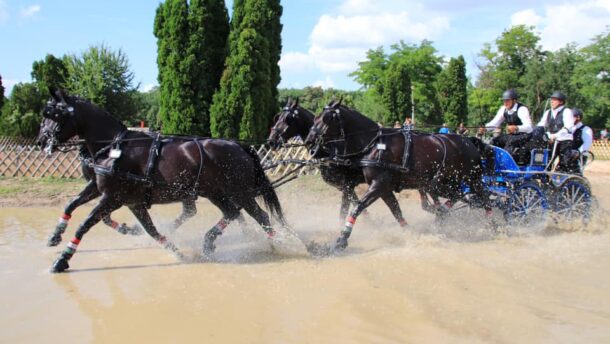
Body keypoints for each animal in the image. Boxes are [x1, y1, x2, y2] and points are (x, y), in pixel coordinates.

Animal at [39, 90, 284, 272]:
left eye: (53, 115)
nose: (41, 141)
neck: (114, 147)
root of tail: (239, 145)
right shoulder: (127, 200)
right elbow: (74, 205)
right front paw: (55, 235)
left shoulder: (113, 197)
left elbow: (85, 224)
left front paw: (62, 259)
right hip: (216, 193)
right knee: (232, 213)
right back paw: (209, 242)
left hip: (240, 192)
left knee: (260, 216)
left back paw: (277, 245)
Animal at [268, 99, 406, 226]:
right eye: (278, 118)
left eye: (288, 119)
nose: (271, 141)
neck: (329, 151)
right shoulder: (345, 186)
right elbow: (354, 204)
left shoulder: (347, 184)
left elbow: (346, 208)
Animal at [304, 101, 490, 251]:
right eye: (315, 118)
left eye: (326, 118)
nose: (309, 141)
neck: (375, 145)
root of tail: (469, 141)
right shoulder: (384, 188)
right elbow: (396, 211)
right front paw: (410, 233)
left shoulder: (378, 184)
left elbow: (358, 207)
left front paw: (342, 238)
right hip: (444, 183)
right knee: (461, 196)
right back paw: (443, 214)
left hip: (467, 180)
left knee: (481, 198)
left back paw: (492, 225)